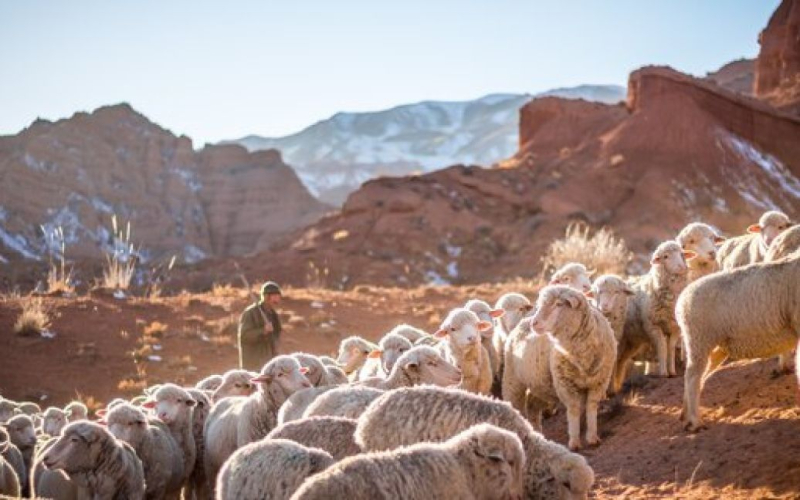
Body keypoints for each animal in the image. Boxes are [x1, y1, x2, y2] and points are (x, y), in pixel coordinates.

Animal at [676, 254, 800, 430]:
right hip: (699, 339)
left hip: (715, 348)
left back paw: (686, 416)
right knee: (692, 377)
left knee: (699, 376)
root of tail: (680, 301)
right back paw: (696, 421)